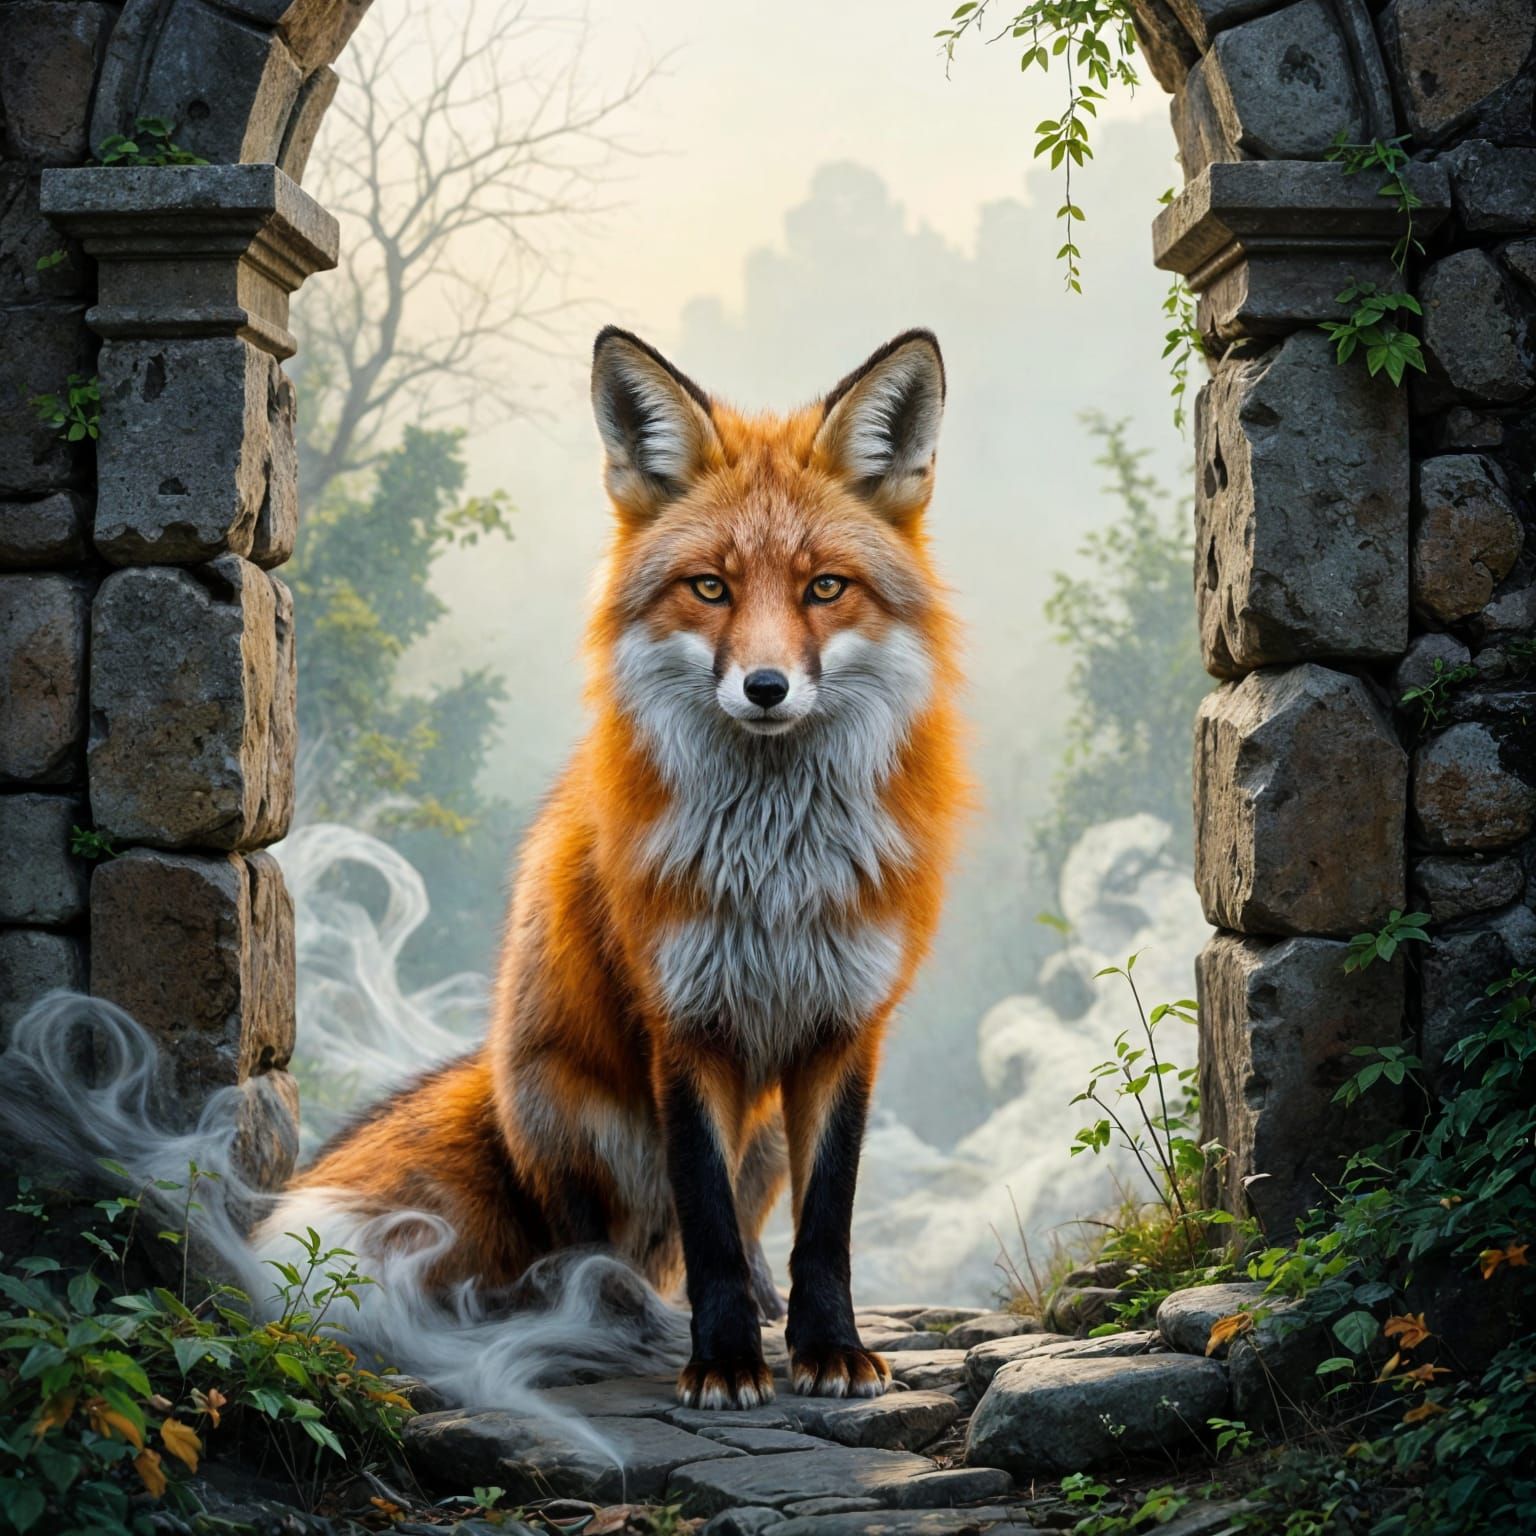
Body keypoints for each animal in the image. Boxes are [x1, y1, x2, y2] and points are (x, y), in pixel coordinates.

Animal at [255, 326, 967, 1410]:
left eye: (823, 587)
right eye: (711, 587)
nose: (766, 687)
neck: (775, 876)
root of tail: (492, 1067)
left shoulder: (846, 1025)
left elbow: (825, 1225)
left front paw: (828, 1348)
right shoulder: (683, 1022)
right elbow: (706, 1224)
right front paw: (723, 1362)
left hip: (760, 1124)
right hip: (573, 1115)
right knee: (595, 1248)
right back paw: (606, 1314)